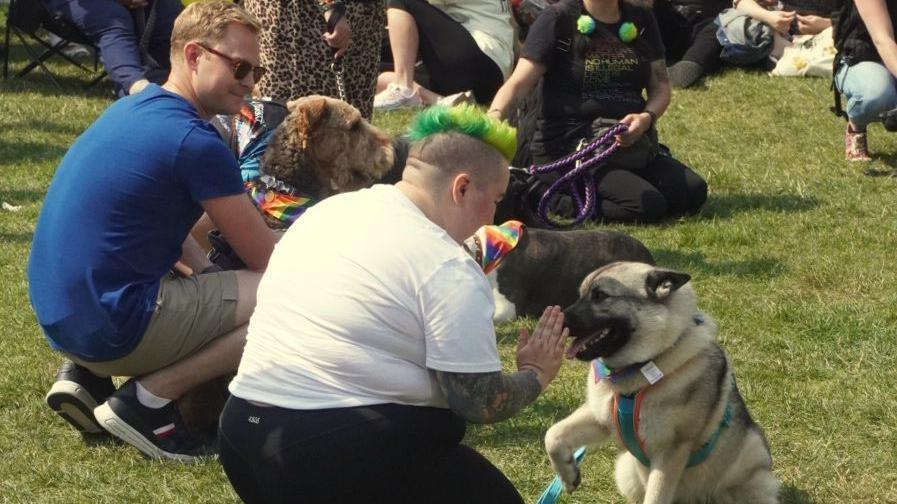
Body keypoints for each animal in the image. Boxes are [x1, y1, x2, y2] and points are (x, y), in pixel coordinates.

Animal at [544, 262, 776, 502]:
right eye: (580, 294)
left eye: (600, 295)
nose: (557, 318)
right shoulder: (600, 418)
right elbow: (552, 435)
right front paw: (568, 474)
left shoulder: (670, 451)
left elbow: (655, 497)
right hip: (625, 472)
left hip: (753, 475)